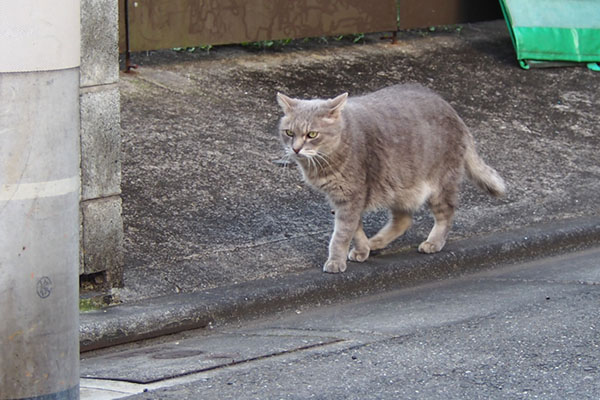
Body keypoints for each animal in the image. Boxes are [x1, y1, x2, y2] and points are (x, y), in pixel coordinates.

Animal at [278, 83, 506, 274]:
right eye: (289, 133)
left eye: (312, 134)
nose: (295, 149)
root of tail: (453, 112)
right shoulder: (345, 199)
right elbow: (355, 229)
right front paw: (362, 249)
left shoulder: (351, 197)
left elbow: (341, 234)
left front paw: (335, 260)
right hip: (399, 187)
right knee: (404, 220)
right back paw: (375, 242)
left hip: (439, 186)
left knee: (446, 213)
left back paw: (433, 242)